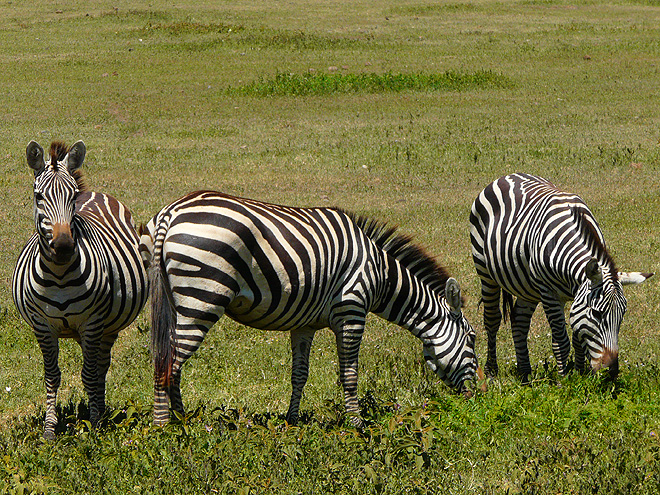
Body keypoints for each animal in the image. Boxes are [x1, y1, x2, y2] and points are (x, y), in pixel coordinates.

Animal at [11, 141, 148, 440]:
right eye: (38, 197)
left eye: (72, 197)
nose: (63, 247)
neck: (60, 275)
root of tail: (94, 192)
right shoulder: (43, 326)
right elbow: (52, 376)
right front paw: (50, 430)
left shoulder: (92, 323)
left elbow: (89, 374)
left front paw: (95, 424)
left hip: (108, 327)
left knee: (101, 367)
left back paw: (102, 410)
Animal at [141, 192, 484, 428]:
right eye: (472, 337)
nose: (476, 396)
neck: (380, 274)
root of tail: (171, 212)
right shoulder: (352, 310)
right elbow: (349, 374)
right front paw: (356, 425)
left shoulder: (303, 324)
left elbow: (299, 374)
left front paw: (292, 421)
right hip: (202, 297)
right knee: (168, 364)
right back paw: (168, 426)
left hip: (174, 301)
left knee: (167, 360)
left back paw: (180, 421)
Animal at [472, 172, 652, 382]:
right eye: (597, 314)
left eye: (622, 315)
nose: (611, 372)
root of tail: (508, 175)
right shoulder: (549, 293)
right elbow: (561, 341)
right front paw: (563, 381)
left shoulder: (578, 294)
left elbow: (578, 338)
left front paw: (581, 374)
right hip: (485, 272)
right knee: (492, 319)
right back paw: (491, 371)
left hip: (527, 287)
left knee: (519, 321)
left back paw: (525, 374)